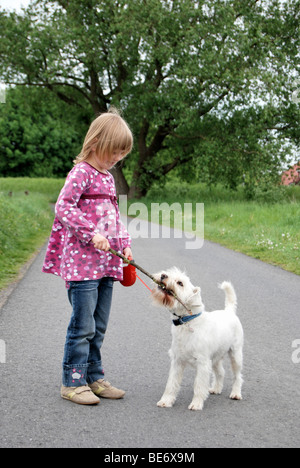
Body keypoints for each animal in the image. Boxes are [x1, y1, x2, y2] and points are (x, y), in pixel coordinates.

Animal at [152, 268, 244, 412]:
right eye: (170, 272)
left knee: (237, 376)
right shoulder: (177, 361)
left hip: (236, 355)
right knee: (221, 372)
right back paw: (216, 388)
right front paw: (166, 401)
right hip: (216, 358)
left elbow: (199, 386)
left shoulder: (203, 363)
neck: (187, 322)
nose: (163, 275)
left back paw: (236, 393)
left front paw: (196, 404)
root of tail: (229, 311)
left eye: (180, 283)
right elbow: (171, 384)